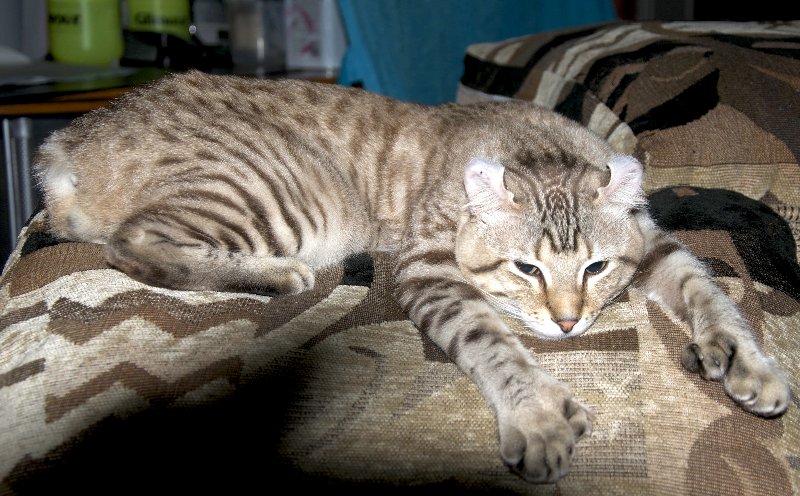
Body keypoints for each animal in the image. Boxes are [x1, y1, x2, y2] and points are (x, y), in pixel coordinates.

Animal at [34, 70, 792, 484]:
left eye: (597, 266)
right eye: (526, 267)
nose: (568, 322)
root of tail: (69, 141)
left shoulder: (656, 245)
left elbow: (707, 290)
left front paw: (750, 362)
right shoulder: (430, 271)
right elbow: (492, 341)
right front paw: (537, 414)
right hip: (286, 194)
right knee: (132, 245)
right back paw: (280, 274)